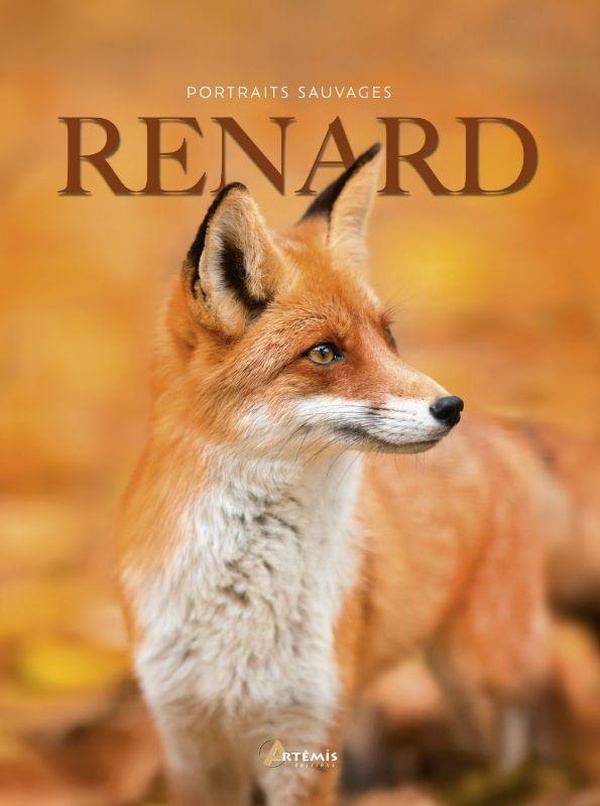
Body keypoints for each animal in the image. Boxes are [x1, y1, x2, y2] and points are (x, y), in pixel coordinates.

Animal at [118, 144, 550, 806]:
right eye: (324, 352)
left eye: (388, 337)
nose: (451, 406)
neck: (239, 601)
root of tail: (501, 431)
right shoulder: (189, 740)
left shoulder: (305, 737)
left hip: (480, 675)